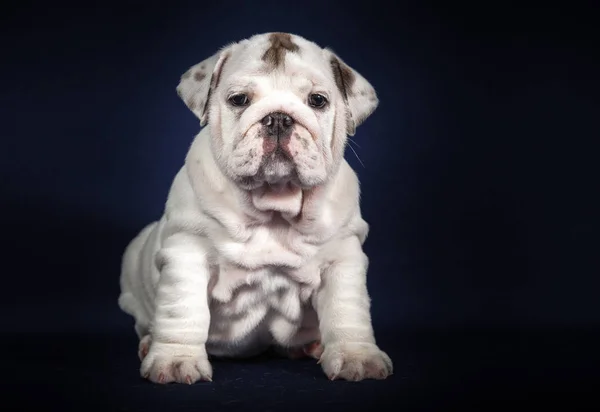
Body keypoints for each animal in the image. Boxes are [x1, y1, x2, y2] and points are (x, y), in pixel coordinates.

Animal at [119, 31, 392, 384]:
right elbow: (183, 311)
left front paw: (356, 356)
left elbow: (347, 311)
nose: (278, 118)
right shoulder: (187, 254)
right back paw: (148, 342)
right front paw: (176, 360)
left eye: (318, 100)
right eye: (239, 100)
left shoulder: (342, 259)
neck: (275, 203)